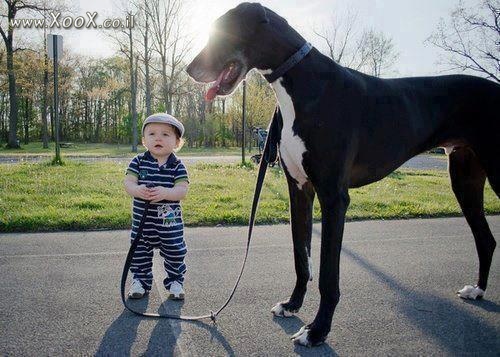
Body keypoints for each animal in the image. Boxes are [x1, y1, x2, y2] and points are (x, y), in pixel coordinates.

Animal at [188, 2, 500, 344]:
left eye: (223, 31)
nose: (189, 70)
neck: (301, 83)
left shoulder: (334, 197)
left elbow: (327, 274)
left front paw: (317, 330)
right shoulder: (299, 190)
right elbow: (301, 257)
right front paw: (292, 304)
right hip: (464, 178)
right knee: (486, 239)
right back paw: (478, 290)